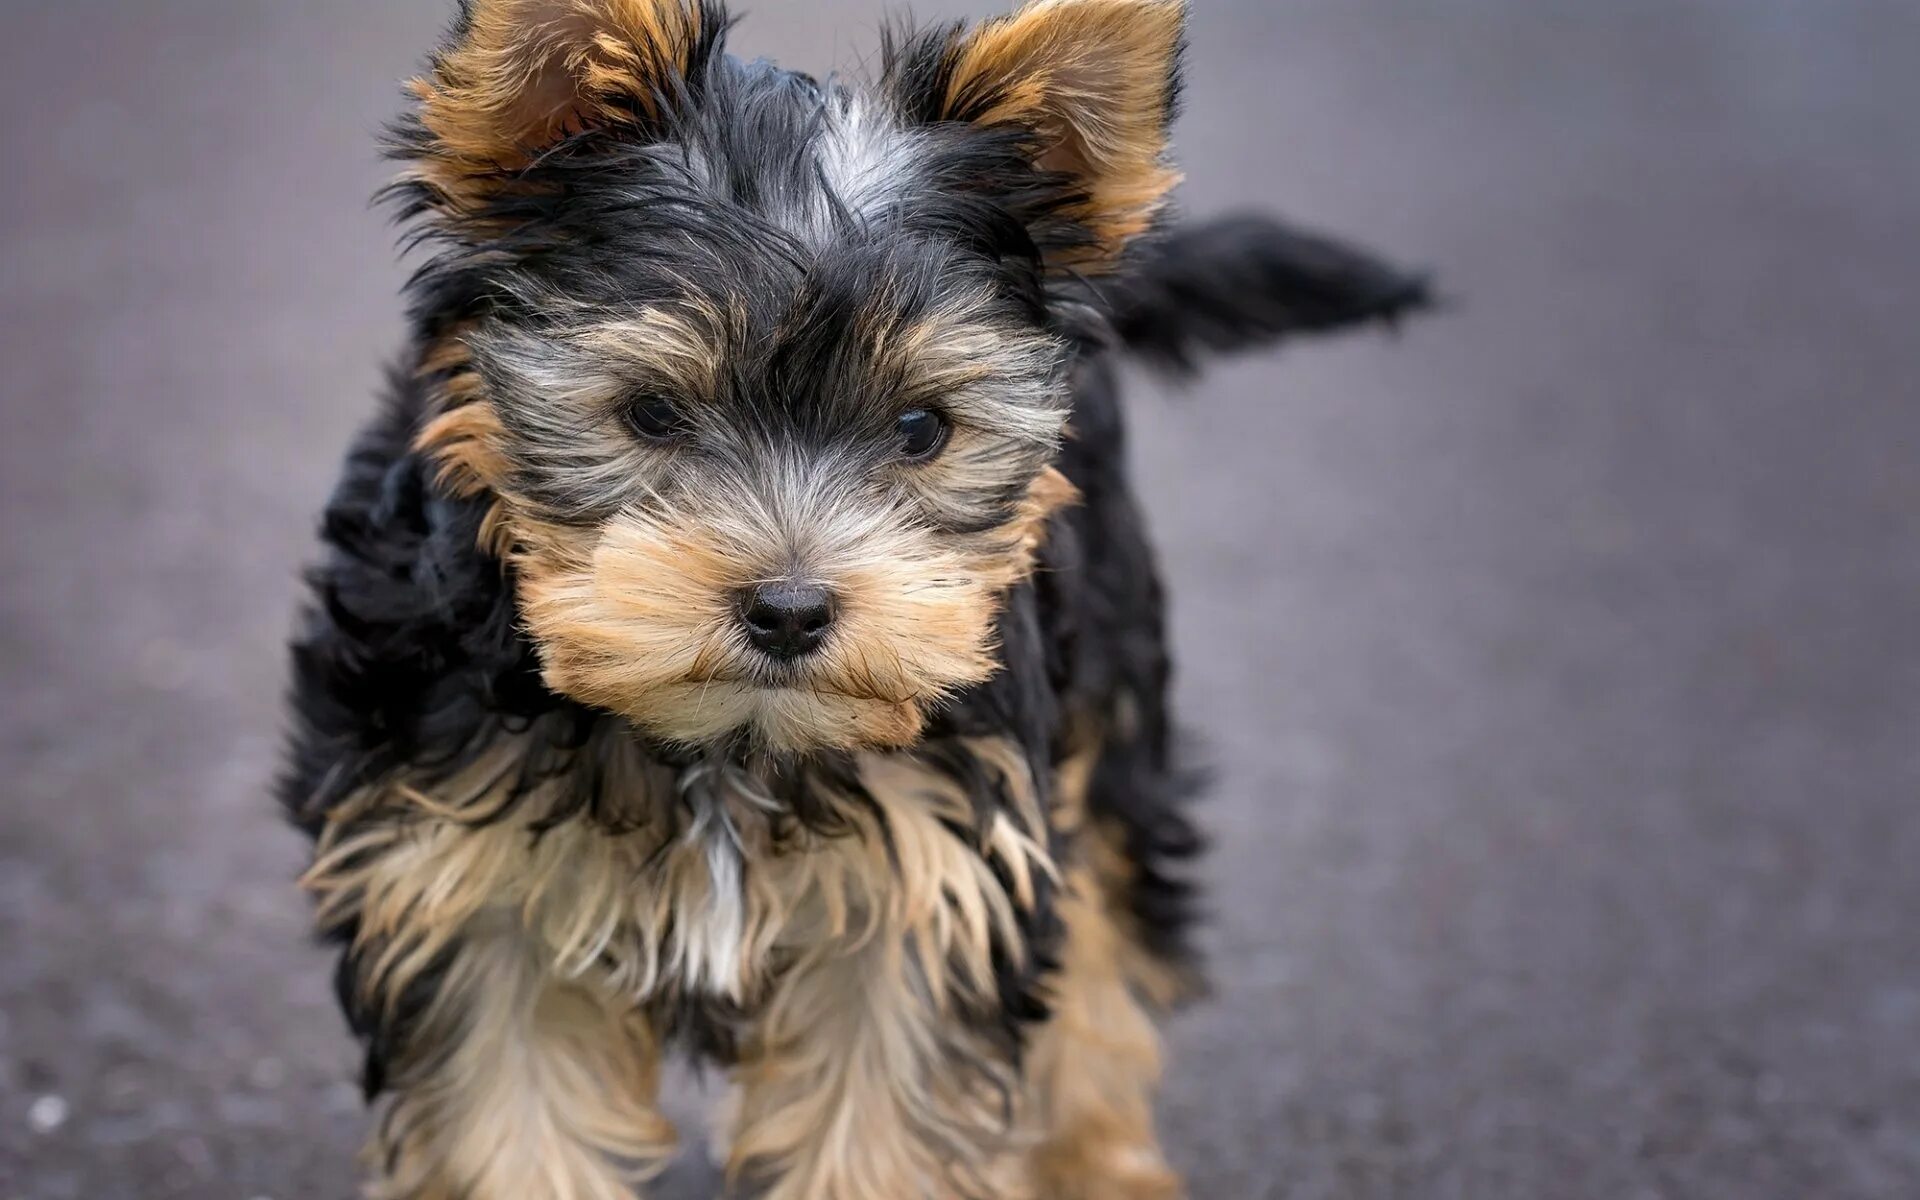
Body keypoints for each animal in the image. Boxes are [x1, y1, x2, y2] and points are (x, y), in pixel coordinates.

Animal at [284, 2, 1428, 1198]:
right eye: (650, 412)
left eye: (922, 428)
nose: (789, 610)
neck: (729, 746)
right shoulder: (461, 884)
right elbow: (500, 1116)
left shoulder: (933, 890)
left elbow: (887, 1122)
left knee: (1106, 935)